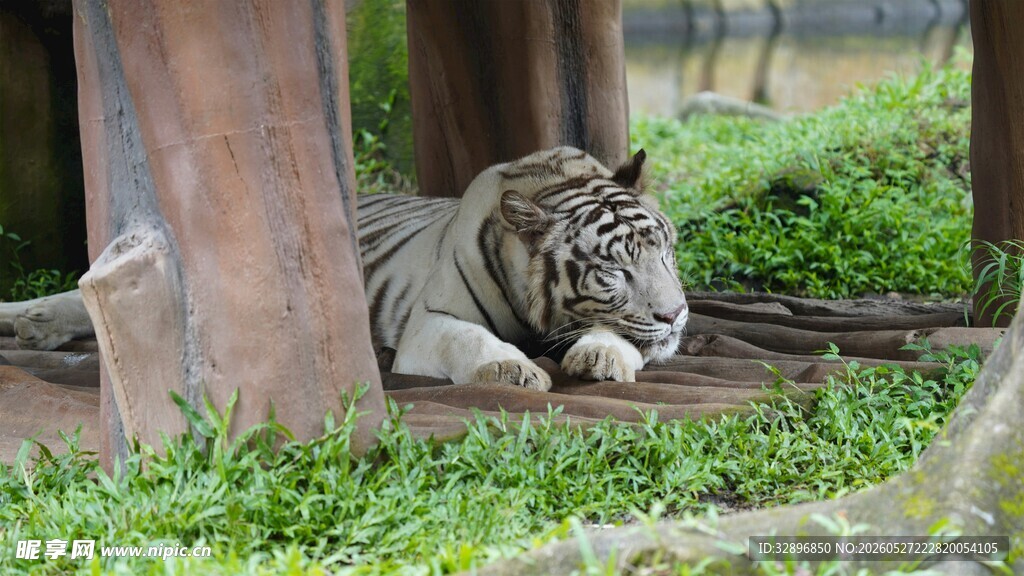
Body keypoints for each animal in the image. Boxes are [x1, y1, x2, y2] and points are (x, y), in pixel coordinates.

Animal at [1, 147, 688, 392]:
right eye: (612, 272)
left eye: (664, 251)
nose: (678, 313)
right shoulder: (431, 321)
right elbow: (472, 341)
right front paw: (509, 369)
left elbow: (619, 339)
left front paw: (600, 356)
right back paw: (30, 319)